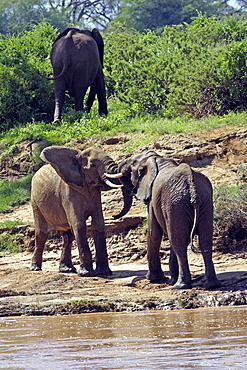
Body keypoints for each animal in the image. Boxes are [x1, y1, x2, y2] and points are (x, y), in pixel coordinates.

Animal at [29, 146, 132, 276]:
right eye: (92, 165)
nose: (114, 216)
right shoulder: (69, 192)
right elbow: (79, 224)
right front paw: (87, 273)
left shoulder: (94, 194)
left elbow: (98, 224)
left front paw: (104, 273)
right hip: (35, 202)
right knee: (41, 234)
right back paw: (35, 268)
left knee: (68, 235)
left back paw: (67, 270)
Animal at [117, 150, 222, 290]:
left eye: (133, 163)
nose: (113, 217)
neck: (157, 160)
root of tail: (192, 185)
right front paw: (170, 280)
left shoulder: (152, 199)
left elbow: (154, 234)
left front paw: (154, 279)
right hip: (203, 202)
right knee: (204, 241)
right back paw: (212, 285)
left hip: (176, 203)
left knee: (179, 244)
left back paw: (180, 285)